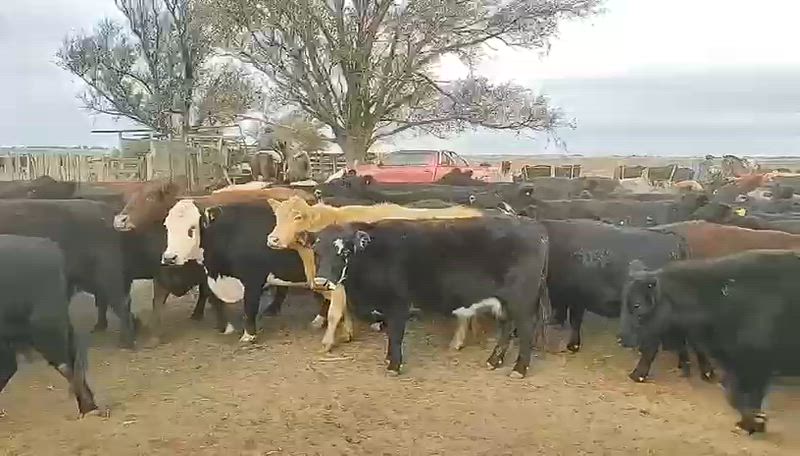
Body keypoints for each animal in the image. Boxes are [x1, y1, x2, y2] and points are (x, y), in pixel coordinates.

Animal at [162, 199, 311, 342]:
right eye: (167, 227)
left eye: (192, 228)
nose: (169, 258)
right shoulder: (211, 278)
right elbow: (214, 300)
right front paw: (225, 328)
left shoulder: (253, 278)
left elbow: (250, 305)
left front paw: (249, 335)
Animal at [266, 196, 484, 350]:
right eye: (277, 216)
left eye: (298, 216)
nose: (273, 239)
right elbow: (345, 309)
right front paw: (347, 333)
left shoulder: (339, 284)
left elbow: (334, 312)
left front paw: (327, 342)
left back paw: (458, 341)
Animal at [307, 216, 549, 377]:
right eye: (316, 252)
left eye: (345, 252)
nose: (321, 282)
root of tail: (535, 227)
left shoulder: (398, 303)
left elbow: (395, 335)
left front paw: (394, 365)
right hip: (505, 301)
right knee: (507, 327)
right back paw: (494, 361)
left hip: (522, 299)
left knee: (526, 330)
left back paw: (519, 369)